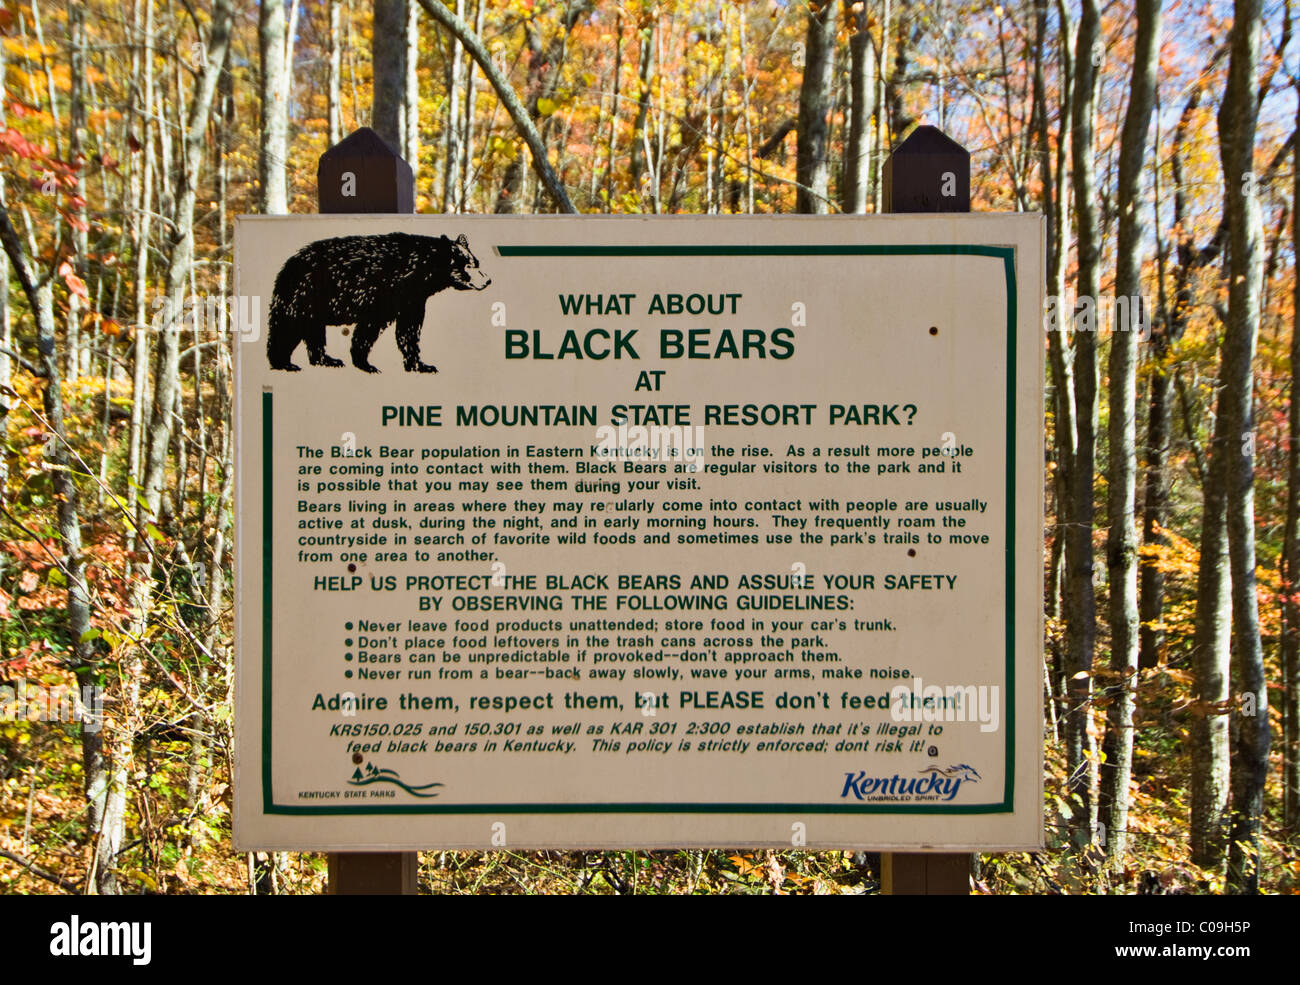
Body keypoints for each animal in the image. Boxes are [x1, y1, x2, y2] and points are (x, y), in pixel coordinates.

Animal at [266, 231, 488, 374]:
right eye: (469, 265)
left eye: (476, 262)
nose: (487, 280)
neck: (417, 271)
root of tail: (288, 264)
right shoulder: (382, 290)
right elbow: (370, 327)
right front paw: (366, 364)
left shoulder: (412, 298)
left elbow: (408, 330)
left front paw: (421, 365)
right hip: (303, 295)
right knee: (288, 328)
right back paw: (283, 363)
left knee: (314, 332)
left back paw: (327, 360)